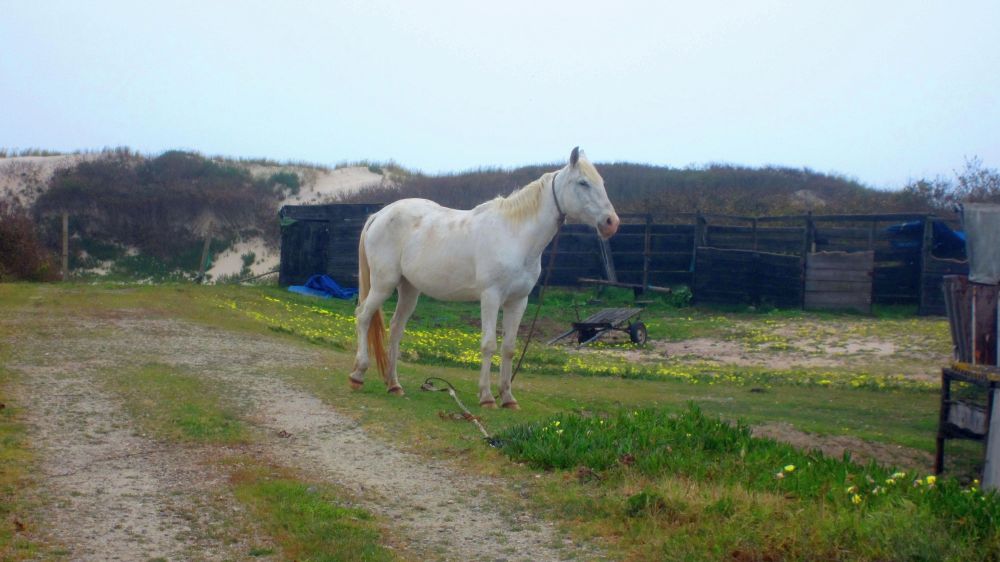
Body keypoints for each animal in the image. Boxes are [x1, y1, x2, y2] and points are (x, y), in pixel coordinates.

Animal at [348, 147, 619, 409]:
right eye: (583, 182)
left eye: (602, 182)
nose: (611, 222)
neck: (514, 235)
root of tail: (380, 214)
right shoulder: (491, 297)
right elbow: (489, 344)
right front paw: (487, 397)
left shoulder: (518, 301)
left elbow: (509, 348)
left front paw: (508, 398)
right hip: (384, 284)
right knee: (363, 316)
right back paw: (358, 375)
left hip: (409, 289)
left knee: (396, 329)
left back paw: (394, 384)